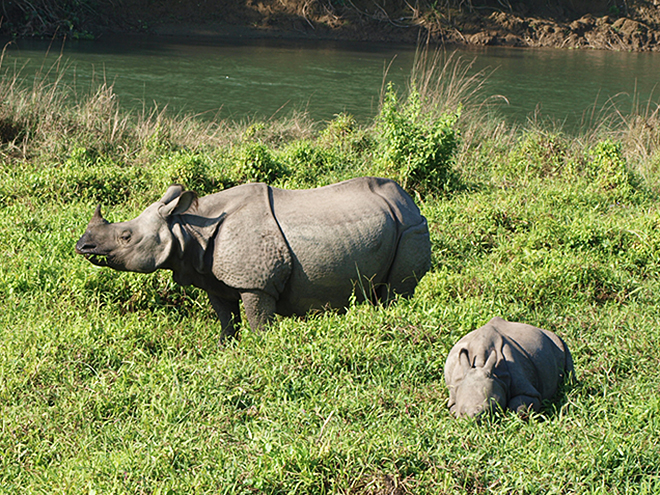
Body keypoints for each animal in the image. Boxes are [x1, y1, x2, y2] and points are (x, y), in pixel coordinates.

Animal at [76, 177, 434, 338]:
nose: (82, 246)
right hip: (396, 223)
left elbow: (258, 321)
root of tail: (410, 201)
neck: (187, 226)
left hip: (411, 228)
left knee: (395, 293)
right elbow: (226, 320)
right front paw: (225, 349)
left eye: (126, 237)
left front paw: (262, 348)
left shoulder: (256, 284)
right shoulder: (213, 278)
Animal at [446, 318, 576, 418]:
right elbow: (453, 408)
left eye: (490, 409)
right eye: (462, 413)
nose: (474, 419)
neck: (481, 364)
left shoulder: (524, 385)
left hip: (556, 340)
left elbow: (519, 406)